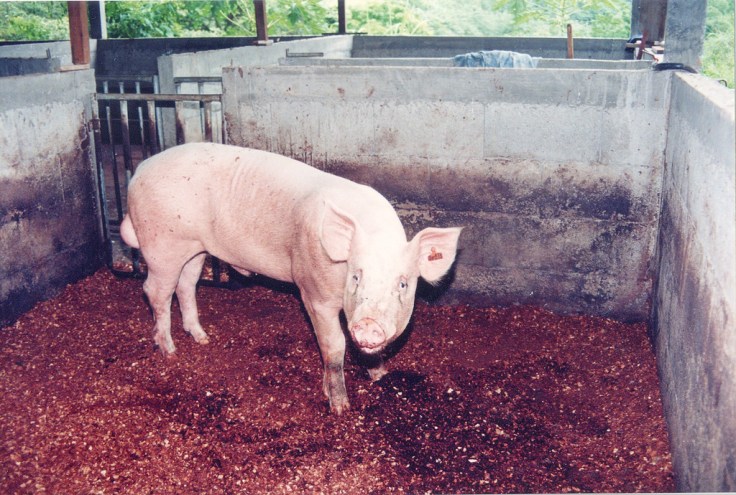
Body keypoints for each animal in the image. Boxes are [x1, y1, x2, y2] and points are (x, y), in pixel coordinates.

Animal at [120, 142, 462, 414]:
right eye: (356, 276)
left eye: (402, 284)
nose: (368, 324)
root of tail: (139, 171)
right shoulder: (313, 293)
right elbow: (334, 347)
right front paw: (340, 407)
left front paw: (381, 376)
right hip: (162, 244)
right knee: (155, 291)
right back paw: (170, 351)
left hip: (194, 247)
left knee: (187, 285)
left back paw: (203, 338)